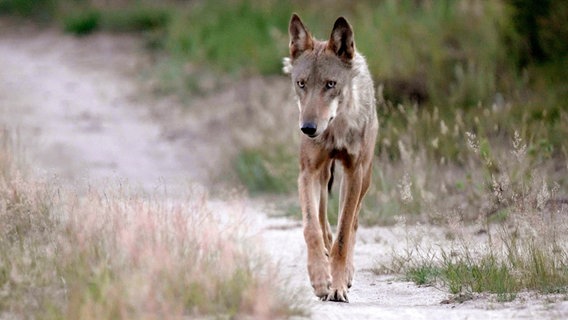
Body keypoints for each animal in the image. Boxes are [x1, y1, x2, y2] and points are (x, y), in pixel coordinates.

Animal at [282, 13, 378, 302]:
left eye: (330, 84)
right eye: (301, 83)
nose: (308, 128)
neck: (334, 130)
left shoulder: (354, 172)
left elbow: (344, 233)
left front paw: (337, 285)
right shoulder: (307, 173)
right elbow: (310, 228)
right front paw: (320, 279)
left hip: (363, 178)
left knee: (353, 223)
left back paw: (347, 273)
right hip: (323, 177)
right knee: (323, 222)